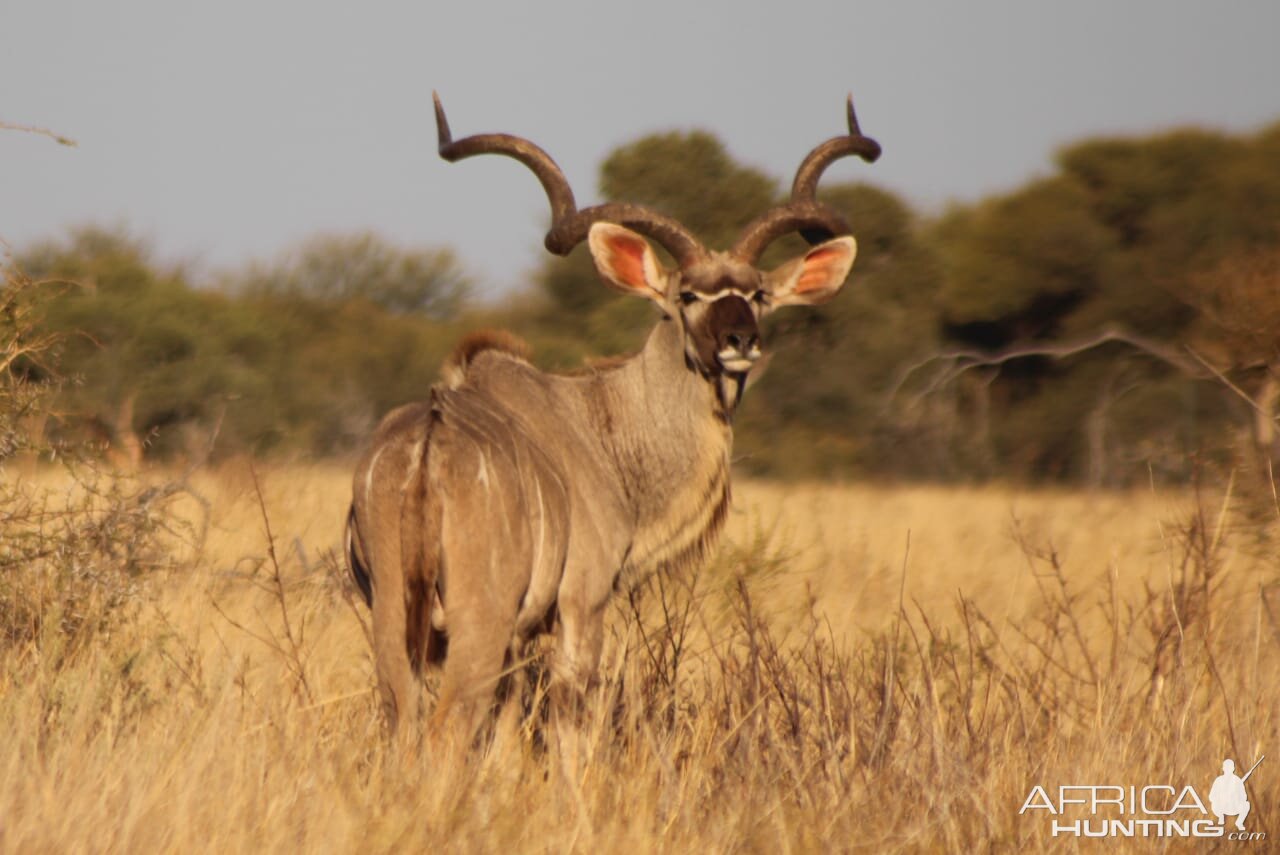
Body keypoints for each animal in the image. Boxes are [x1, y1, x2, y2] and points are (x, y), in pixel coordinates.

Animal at [345, 92, 875, 737]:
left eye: (756, 294)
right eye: (686, 296)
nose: (739, 341)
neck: (601, 421)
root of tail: (425, 453)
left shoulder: (520, 637)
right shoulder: (581, 605)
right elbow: (571, 718)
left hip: (396, 624)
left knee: (404, 722)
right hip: (476, 626)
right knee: (448, 727)